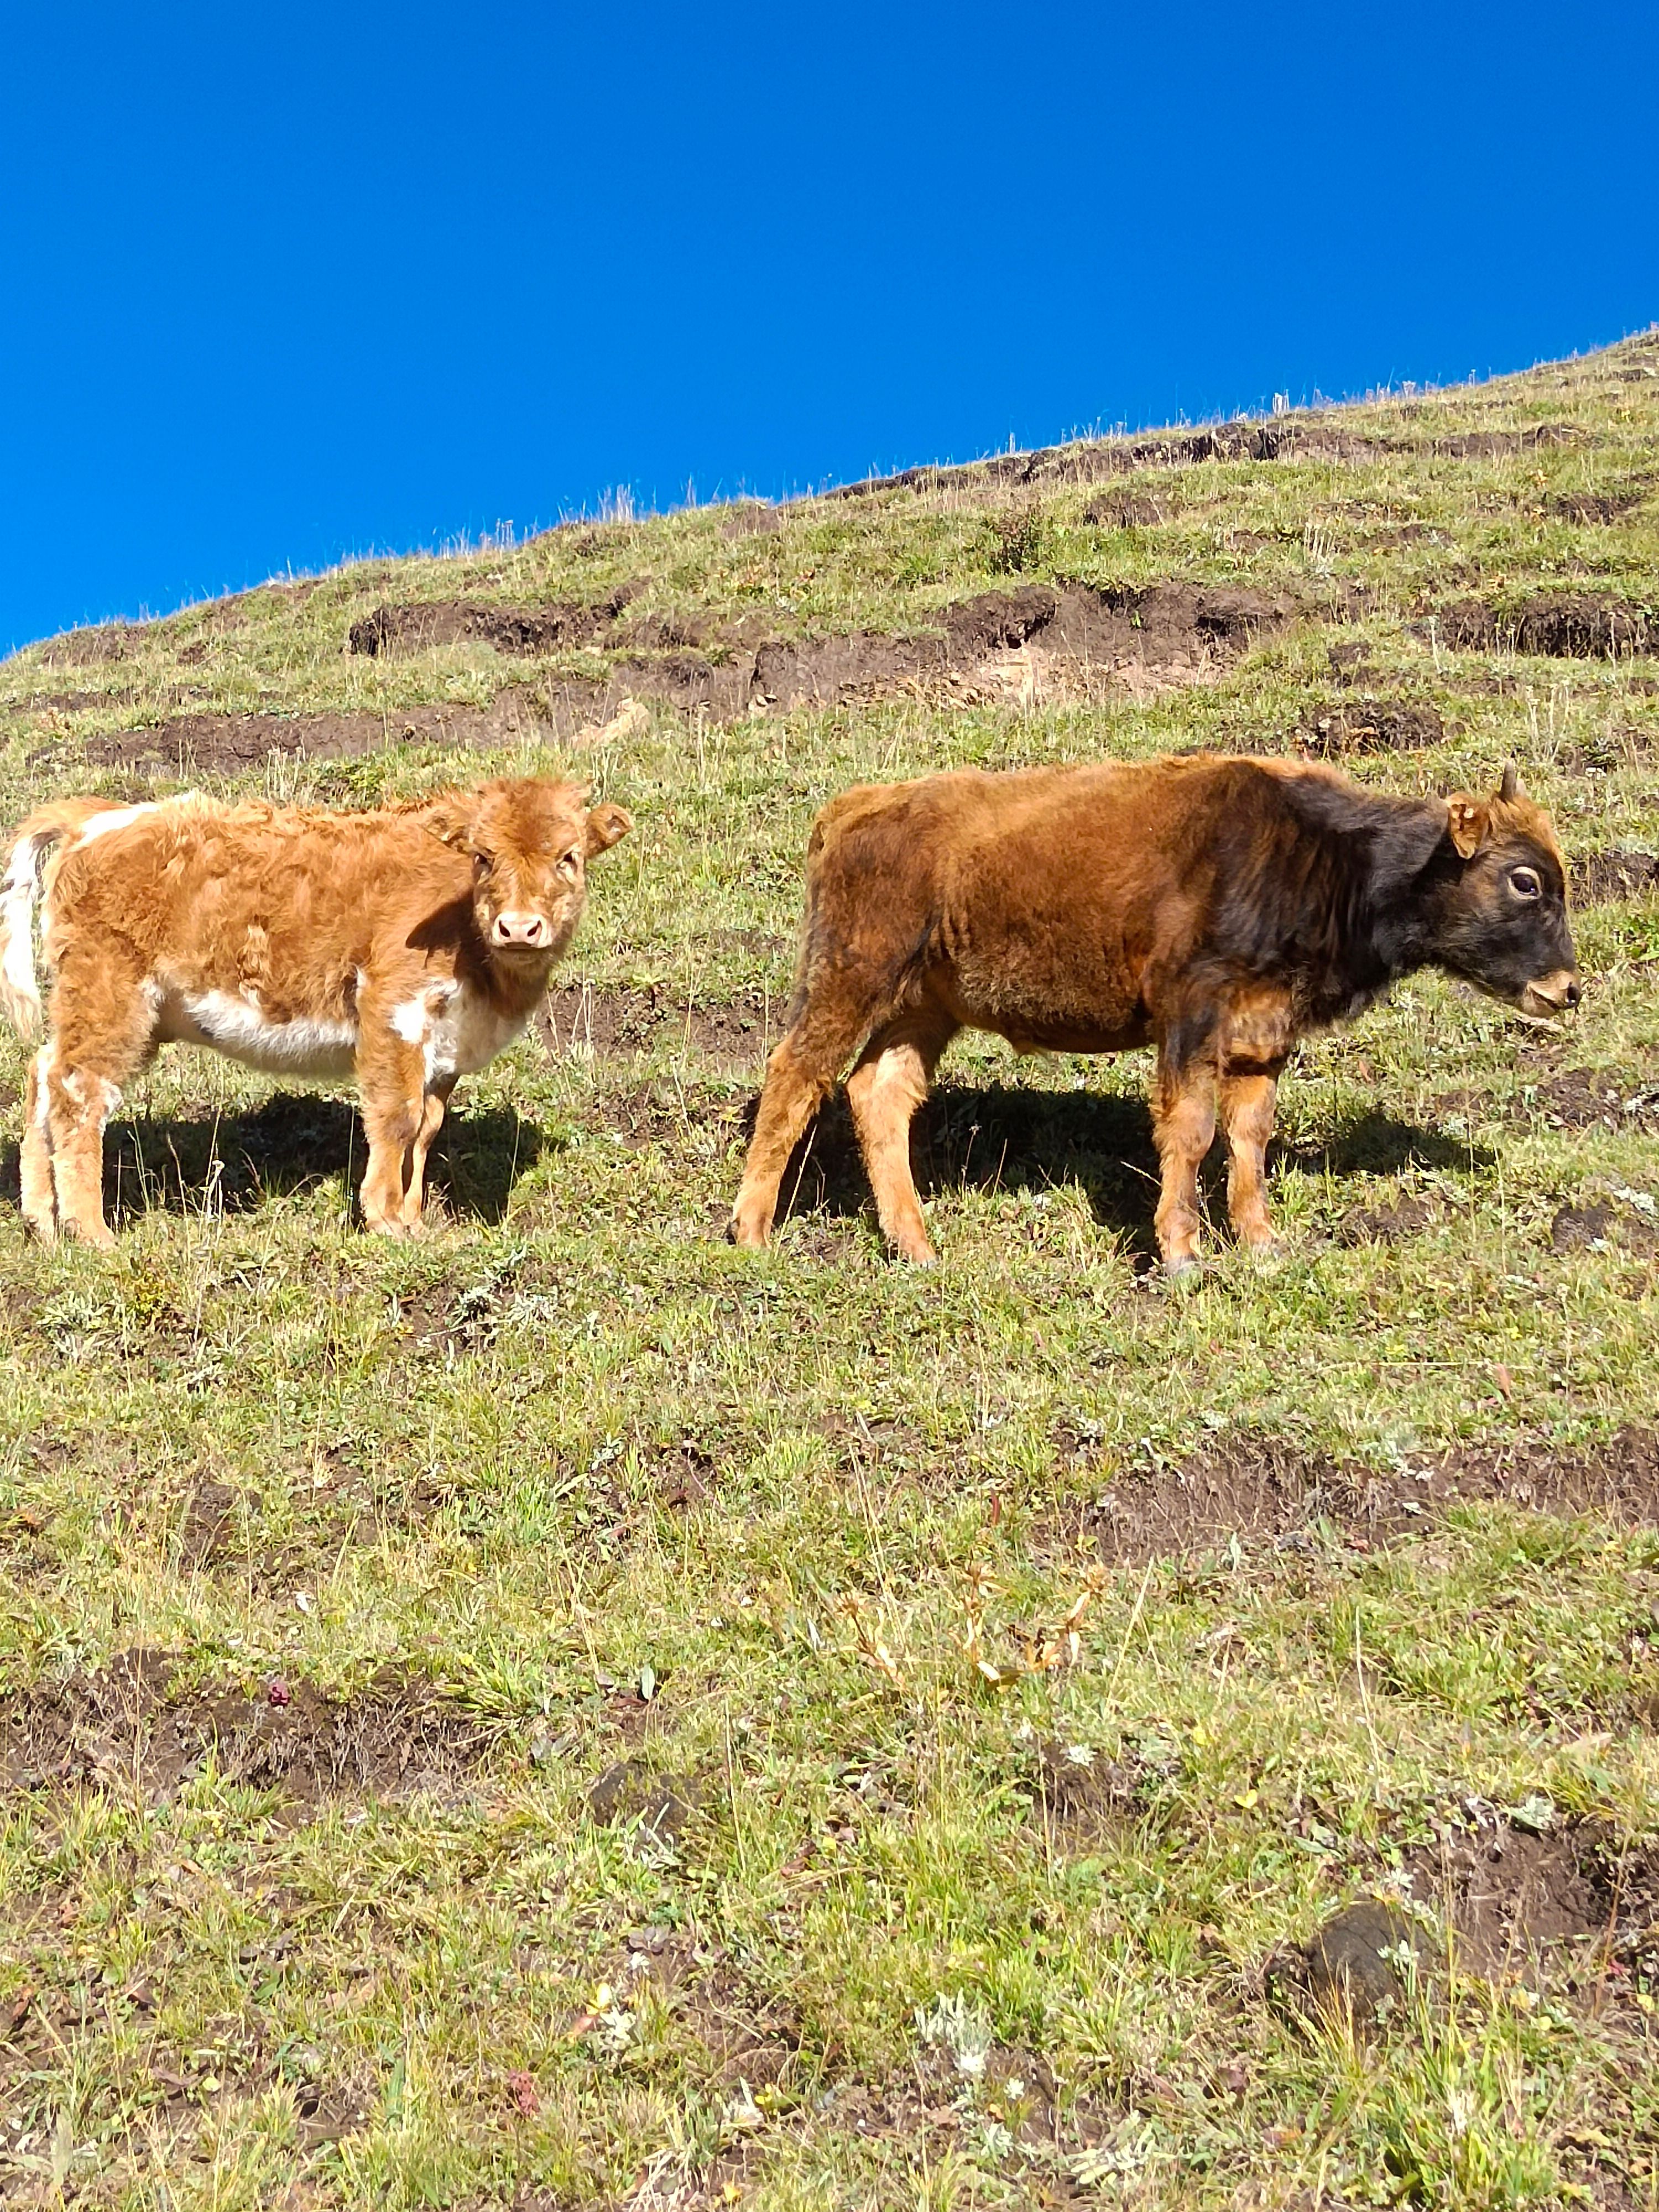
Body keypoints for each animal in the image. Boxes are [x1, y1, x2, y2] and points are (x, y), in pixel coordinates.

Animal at [0, 774, 637, 1248]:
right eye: (484, 856)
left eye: (570, 856)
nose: (519, 927)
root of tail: (101, 817)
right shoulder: (393, 1008)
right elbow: (396, 1116)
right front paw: (385, 1219)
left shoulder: (446, 1048)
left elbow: (427, 1127)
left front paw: (415, 1220)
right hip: (112, 995)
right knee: (80, 1093)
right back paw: (92, 1233)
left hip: (110, 1009)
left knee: (44, 1073)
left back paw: (43, 1222)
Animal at [734, 757, 1575, 1274]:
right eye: (1525, 880)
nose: (1567, 989)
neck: (1319, 854)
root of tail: (852, 809)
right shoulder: (1191, 1019)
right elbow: (1192, 1129)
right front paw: (1180, 1254)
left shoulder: (1261, 1036)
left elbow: (1249, 1136)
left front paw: (1261, 1243)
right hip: (851, 979)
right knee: (795, 1078)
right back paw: (751, 1232)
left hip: (923, 1009)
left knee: (878, 1092)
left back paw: (917, 1248)